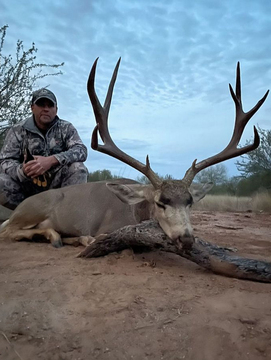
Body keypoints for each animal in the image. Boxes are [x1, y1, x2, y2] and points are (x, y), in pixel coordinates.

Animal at [0, 60, 268, 249]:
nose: (187, 239)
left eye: (190, 201)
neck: (136, 210)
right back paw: (55, 236)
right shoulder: (108, 226)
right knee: (8, 231)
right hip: (31, 210)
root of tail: (21, 207)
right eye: (161, 202)